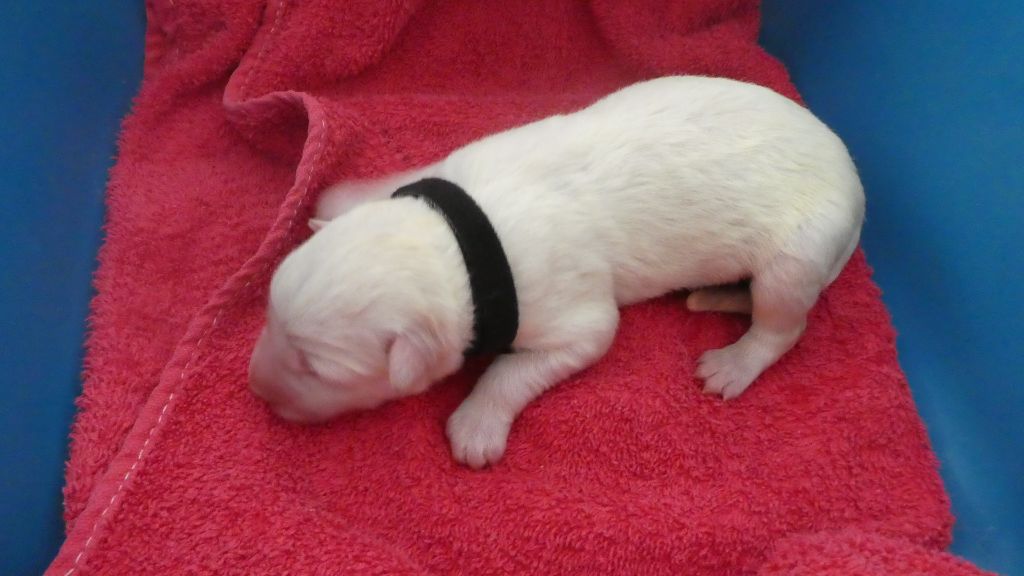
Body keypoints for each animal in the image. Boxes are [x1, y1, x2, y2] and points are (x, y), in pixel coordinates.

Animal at [248, 76, 864, 468]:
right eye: (269, 312)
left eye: (317, 369)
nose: (254, 388)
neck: (460, 242)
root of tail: (855, 180)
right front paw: (338, 199)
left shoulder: (573, 320)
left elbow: (517, 368)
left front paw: (477, 423)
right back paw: (713, 294)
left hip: (797, 257)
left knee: (784, 326)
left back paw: (734, 362)